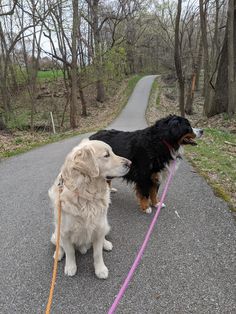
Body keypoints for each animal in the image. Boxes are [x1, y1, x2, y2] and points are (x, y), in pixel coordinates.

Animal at [49, 139, 132, 278]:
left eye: (112, 152)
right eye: (106, 155)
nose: (130, 163)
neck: (86, 194)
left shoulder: (98, 227)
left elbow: (97, 253)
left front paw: (100, 269)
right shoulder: (65, 232)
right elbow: (70, 252)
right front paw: (70, 267)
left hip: (105, 225)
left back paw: (106, 244)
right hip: (56, 233)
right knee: (59, 245)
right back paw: (58, 254)